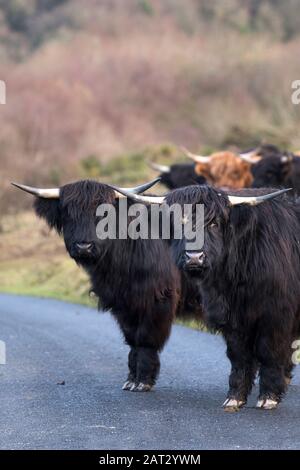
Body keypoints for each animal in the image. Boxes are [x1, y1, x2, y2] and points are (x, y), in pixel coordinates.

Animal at [12, 180, 203, 392]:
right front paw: (131, 379)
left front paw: (143, 381)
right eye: (68, 212)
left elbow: (146, 338)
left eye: (104, 213)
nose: (84, 247)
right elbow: (131, 339)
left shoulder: (158, 299)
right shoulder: (124, 303)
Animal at [118, 185, 300, 412]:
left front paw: (269, 397)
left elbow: (269, 352)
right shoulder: (231, 318)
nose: (194, 257)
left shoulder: (275, 316)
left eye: (213, 223)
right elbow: (238, 355)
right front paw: (235, 398)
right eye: (178, 223)